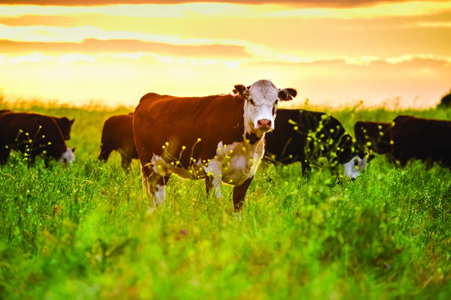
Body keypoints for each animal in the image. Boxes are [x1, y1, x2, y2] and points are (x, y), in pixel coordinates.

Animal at [134, 79, 296, 211]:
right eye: (251, 100)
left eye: (276, 101)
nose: (264, 122)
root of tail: (152, 96)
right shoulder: (212, 167)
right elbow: (215, 203)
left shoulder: (250, 171)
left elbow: (238, 205)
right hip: (150, 164)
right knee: (155, 197)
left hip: (164, 167)